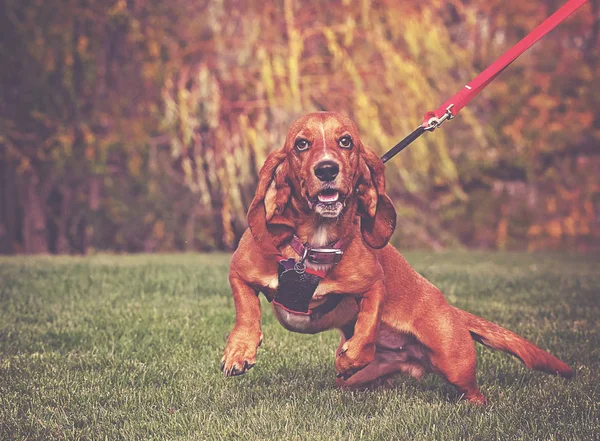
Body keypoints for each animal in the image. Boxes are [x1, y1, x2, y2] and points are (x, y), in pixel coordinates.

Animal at [220, 111, 572, 404]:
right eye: (301, 144)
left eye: (345, 141)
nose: (327, 168)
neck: (313, 245)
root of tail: (452, 310)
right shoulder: (238, 273)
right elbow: (247, 311)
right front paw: (240, 350)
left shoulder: (374, 285)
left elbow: (367, 325)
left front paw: (351, 354)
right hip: (359, 380)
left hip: (454, 362)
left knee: (473, 392)